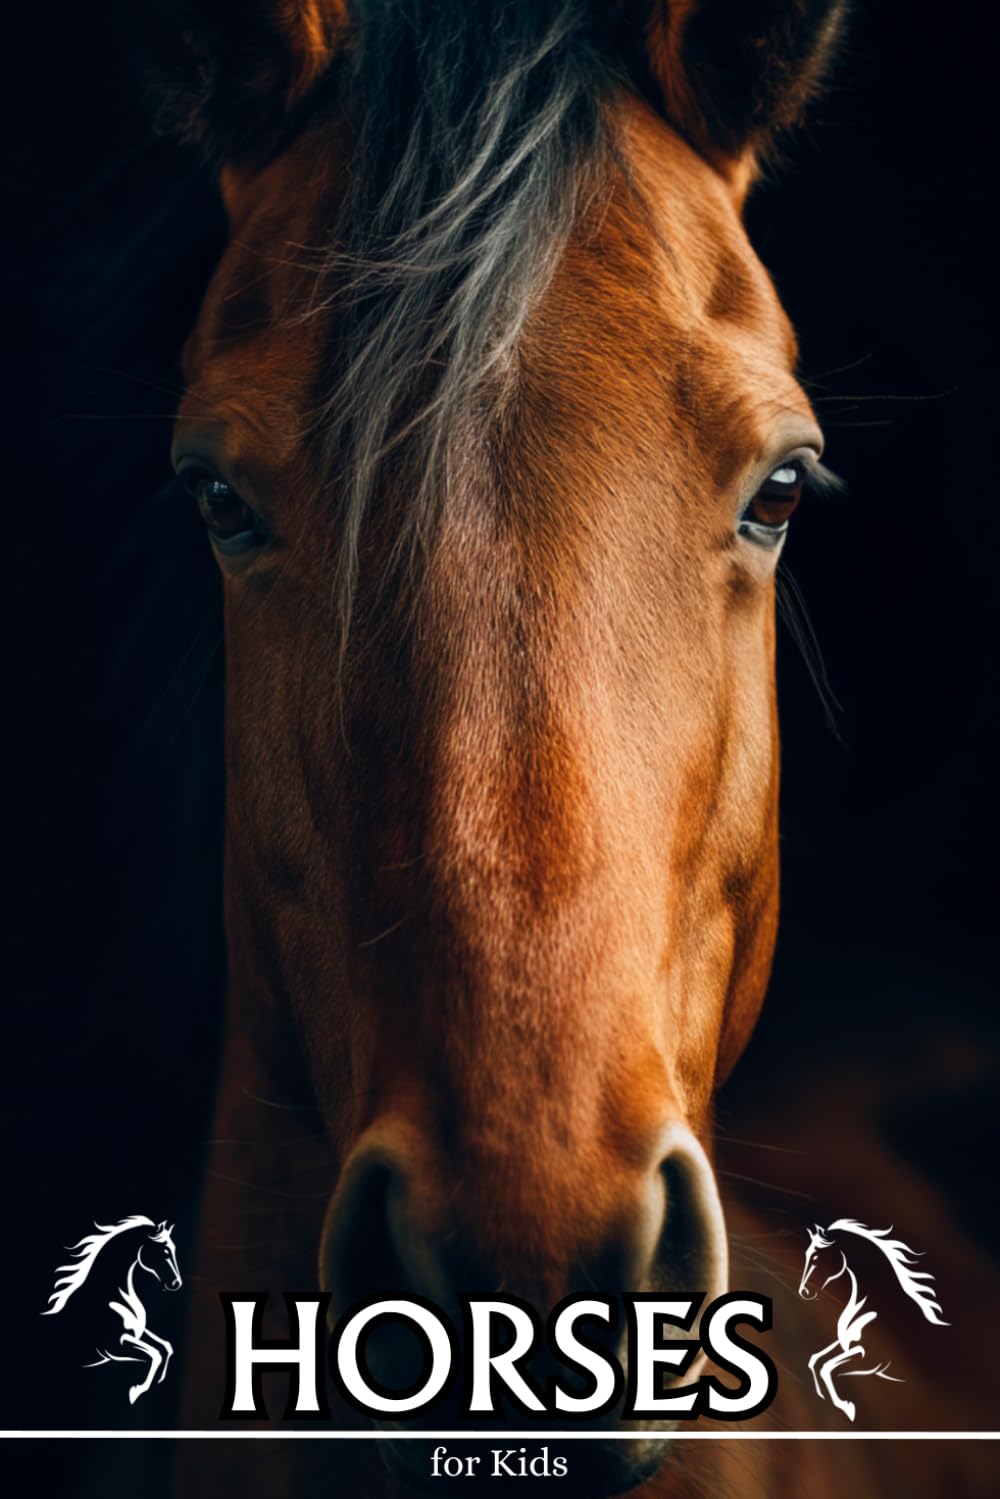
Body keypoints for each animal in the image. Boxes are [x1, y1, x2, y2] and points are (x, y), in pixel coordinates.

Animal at [42, 1216, 182, 1406]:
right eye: (165, 1250)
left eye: (173, 1249)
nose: (176, 1283)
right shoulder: (111, 1346)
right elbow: (154, 1354)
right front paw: (135, 1391)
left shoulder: (135, 1333)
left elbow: (165, 1347)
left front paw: (158, 1381)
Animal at [797, 1219, 949, 1424]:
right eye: (806, 1253)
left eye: (815, 1257)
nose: (804, 1291)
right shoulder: (845, 1343)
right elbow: (816, 1360)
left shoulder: (870, 1359)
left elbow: (827, 1367)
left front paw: (847, 1407)